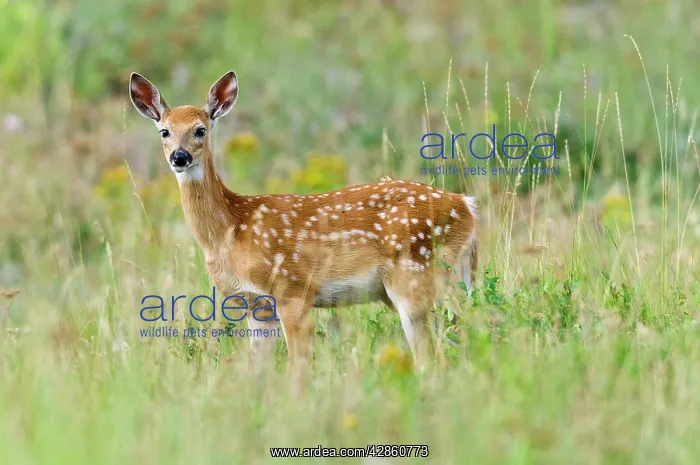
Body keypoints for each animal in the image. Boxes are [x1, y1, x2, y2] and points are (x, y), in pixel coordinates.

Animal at [129, 70, 479, 376]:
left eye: (200, 129)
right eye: (164, 131)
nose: (180, 157)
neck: (232, 228)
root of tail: (468, 207)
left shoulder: (293, 289)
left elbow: (298, 368)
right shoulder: (257, 305)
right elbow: (258, 373)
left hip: (414, 275)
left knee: (434, 356)